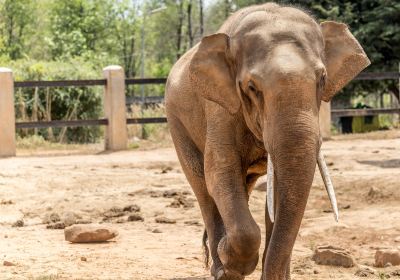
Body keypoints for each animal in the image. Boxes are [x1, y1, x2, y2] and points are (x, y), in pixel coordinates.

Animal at [164, 2, 370, 280]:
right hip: (176, 122)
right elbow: (219, 172)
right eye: (252, 87)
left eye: (322, 79)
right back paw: (221, 267)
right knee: (203, 187)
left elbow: (282, 191)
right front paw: (228, 260)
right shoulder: (220, 109)